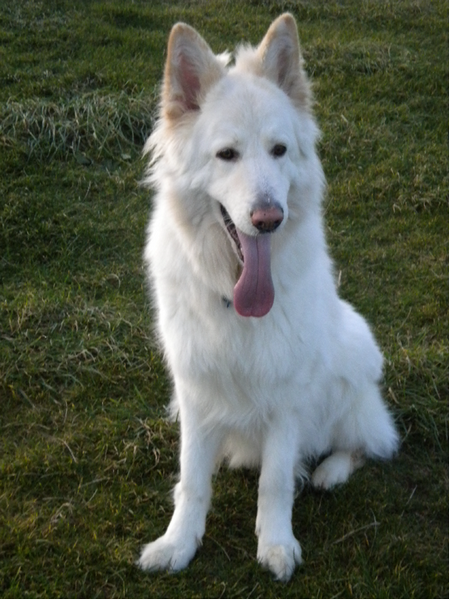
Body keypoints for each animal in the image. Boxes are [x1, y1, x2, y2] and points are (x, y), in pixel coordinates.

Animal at [137, 11, 398, 580]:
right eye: (226, 155)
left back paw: (330, 471)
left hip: (355, 358)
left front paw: (276, 544)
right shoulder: (195, 393)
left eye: (279, 150)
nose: (268, 218)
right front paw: (178, 543)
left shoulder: (286, 399)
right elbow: (192, 482)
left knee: (368, 443)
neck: (237, 299)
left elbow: (275, 481)